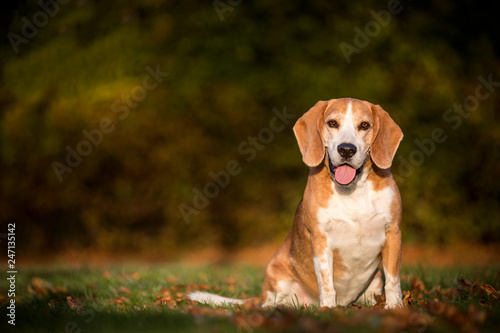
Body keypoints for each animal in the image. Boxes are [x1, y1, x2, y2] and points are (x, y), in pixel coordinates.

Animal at [188, 98, 402, 308]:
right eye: (332, 123)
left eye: (364, 125)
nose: (347, 149)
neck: (352, 190)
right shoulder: (320, 239)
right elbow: (326, 282)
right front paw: (328, 309)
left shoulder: (393, 233)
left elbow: (393, 280)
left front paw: (395, 308)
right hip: (277, 276)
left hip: (374, 283)